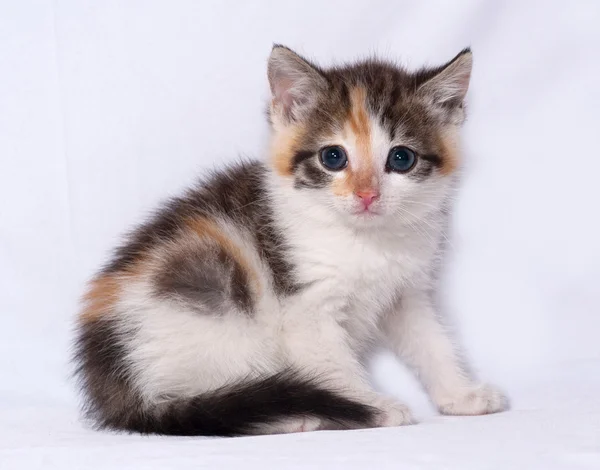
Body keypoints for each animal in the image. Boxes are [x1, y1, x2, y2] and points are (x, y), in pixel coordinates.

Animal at [72, 45, 508, 436]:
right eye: (333, 157)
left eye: (401, 159)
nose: (367, 195)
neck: (365, 241)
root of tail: (112, 386)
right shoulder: (305, 306)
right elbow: (332, 363)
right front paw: (370, 406)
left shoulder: (407, 293)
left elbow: (430, 340)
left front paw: (461, 394)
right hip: (212, 321)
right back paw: (290, 417)